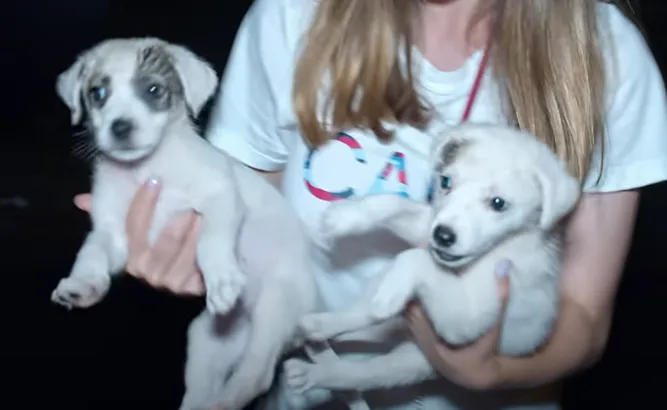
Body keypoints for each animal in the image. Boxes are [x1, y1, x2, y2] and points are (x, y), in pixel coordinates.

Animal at [51, 37, 318, 410]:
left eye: (153, 89)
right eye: (98, 93)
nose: (120, 127)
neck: (147, 169)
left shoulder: (221, 196)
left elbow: (212, 242)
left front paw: (221, 278)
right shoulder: (112, 231)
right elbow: (92, 253)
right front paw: (83, 283)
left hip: (277, 304)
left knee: (256, 374)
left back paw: (229, 398)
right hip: (206, 342)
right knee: (204, 390)